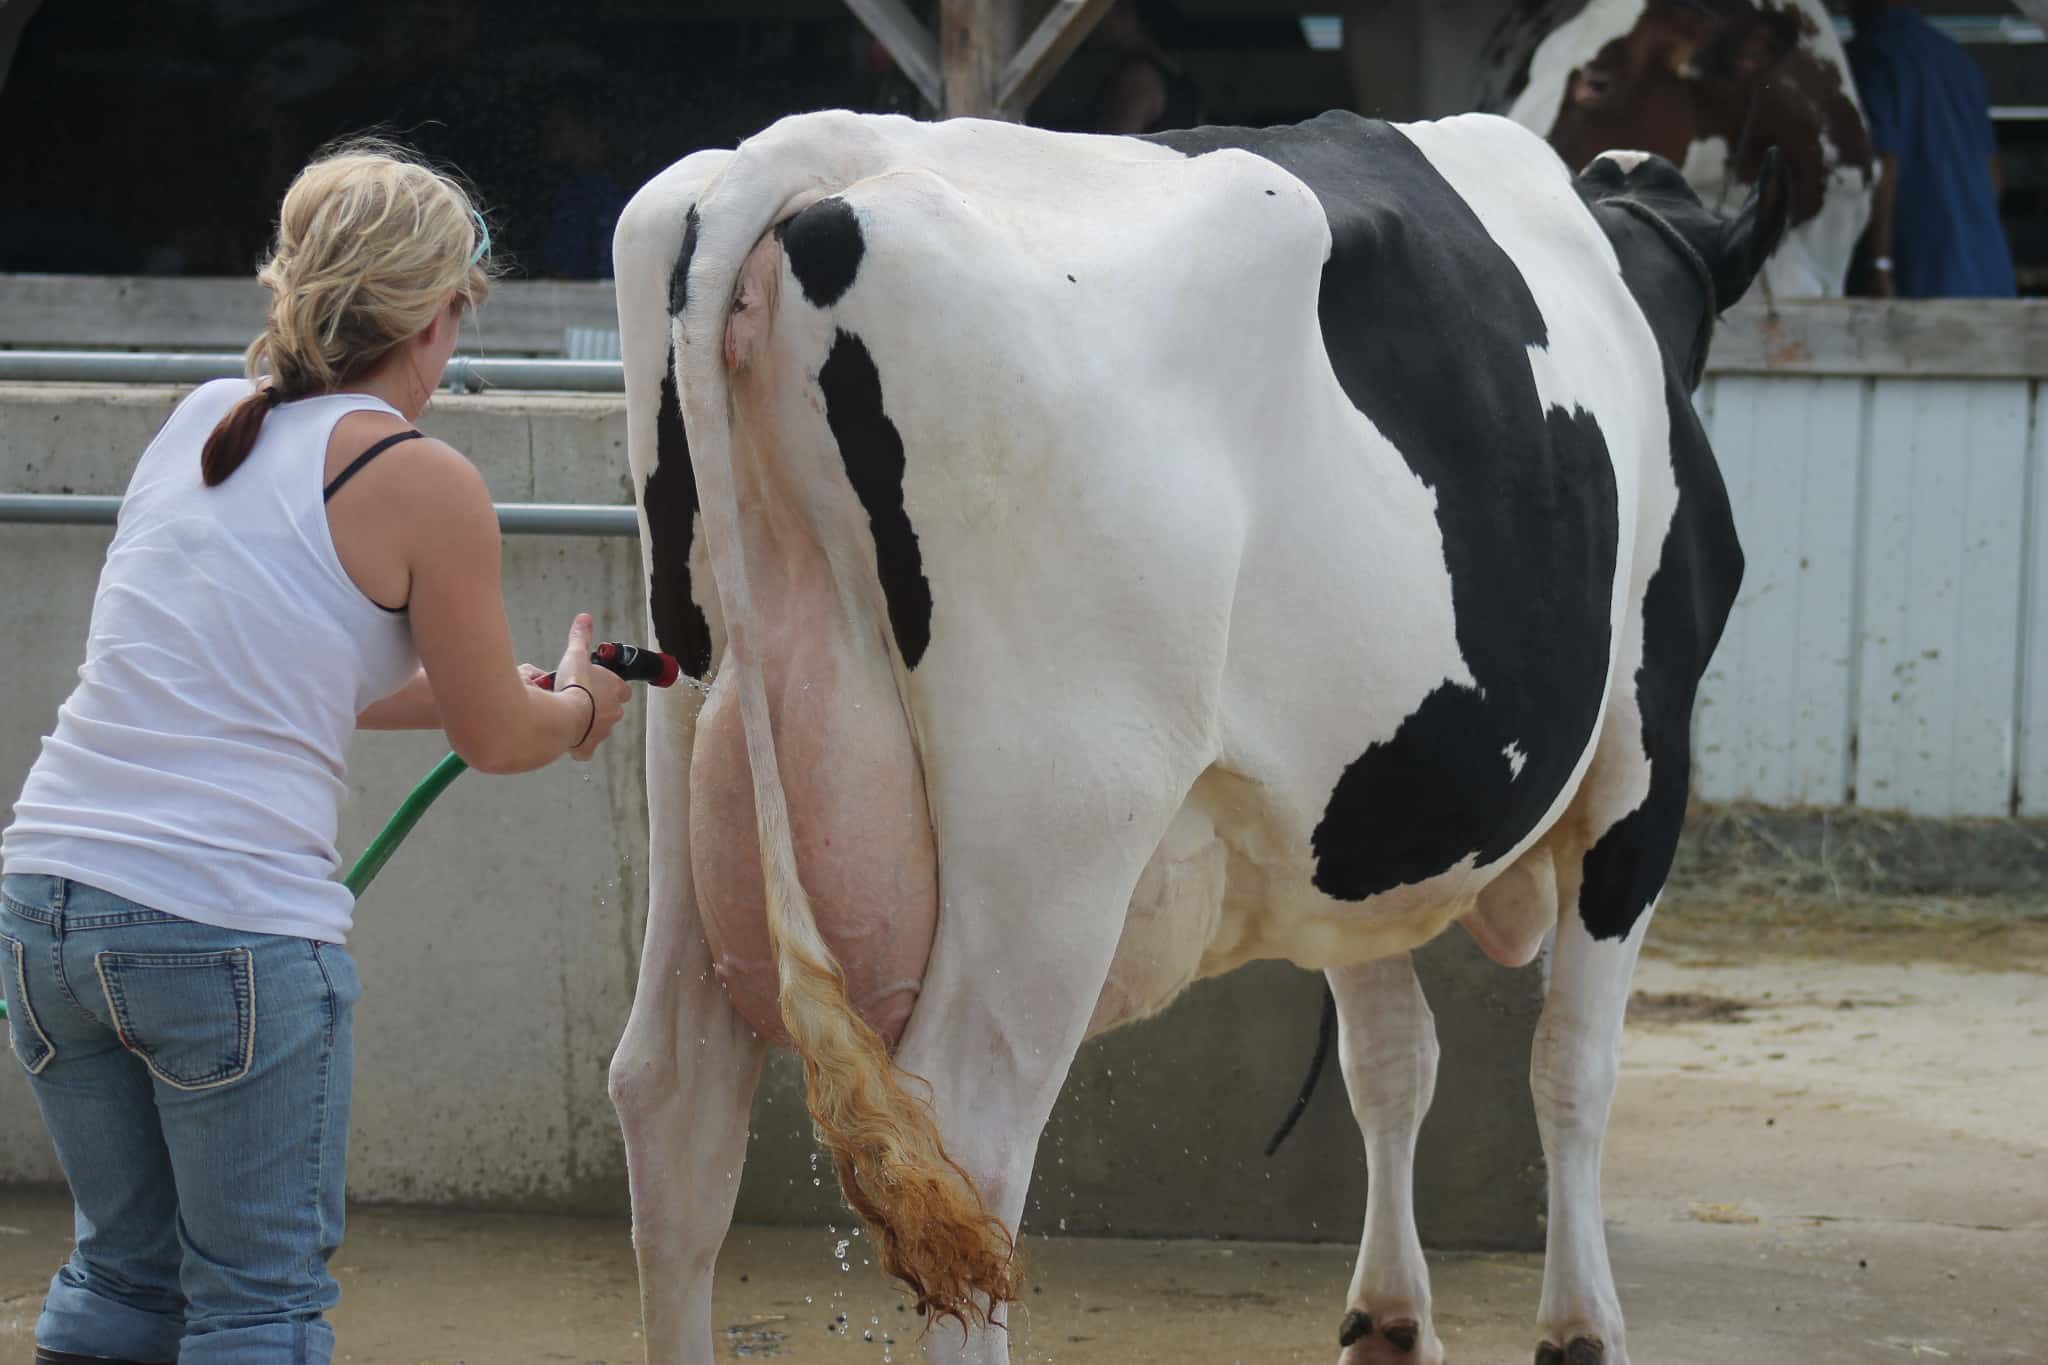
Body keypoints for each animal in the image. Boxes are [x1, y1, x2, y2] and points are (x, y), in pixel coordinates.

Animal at [603, 107, 1782, 1365]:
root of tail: (826, 151)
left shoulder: (1355, 824)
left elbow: (1387, 1061)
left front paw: (1388, 1316)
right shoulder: (1641, 763)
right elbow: (1571, 1066)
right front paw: (1578, 1327)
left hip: (695, 741)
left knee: (672, 1100)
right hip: (1058, 824)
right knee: (963, 1154)